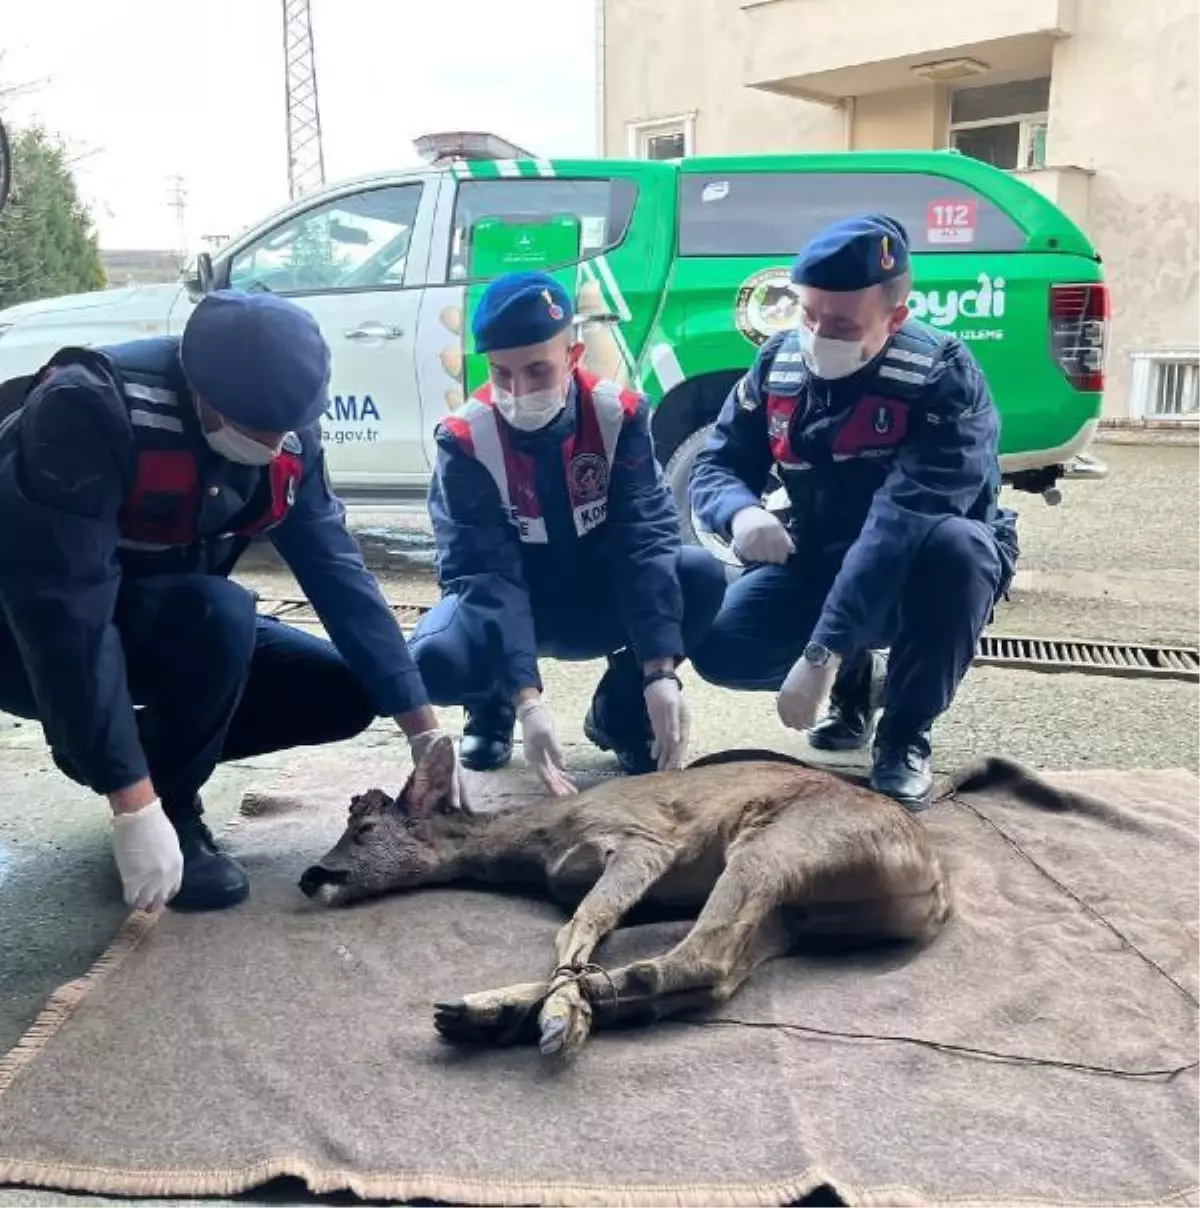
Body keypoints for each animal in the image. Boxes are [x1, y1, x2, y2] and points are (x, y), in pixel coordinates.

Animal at [297, 724, 947, 1058]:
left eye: (364, 830)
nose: (311, 875)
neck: (534, 845)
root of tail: (935, 886)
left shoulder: (641, 839)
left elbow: (580, 921)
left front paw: (563, 1016)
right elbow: (591, 922)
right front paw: (553, 1010)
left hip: (777, 848)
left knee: (703, 958)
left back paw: (528, 1012)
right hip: (795, 914)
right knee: (718, 973)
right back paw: (486, 1015)